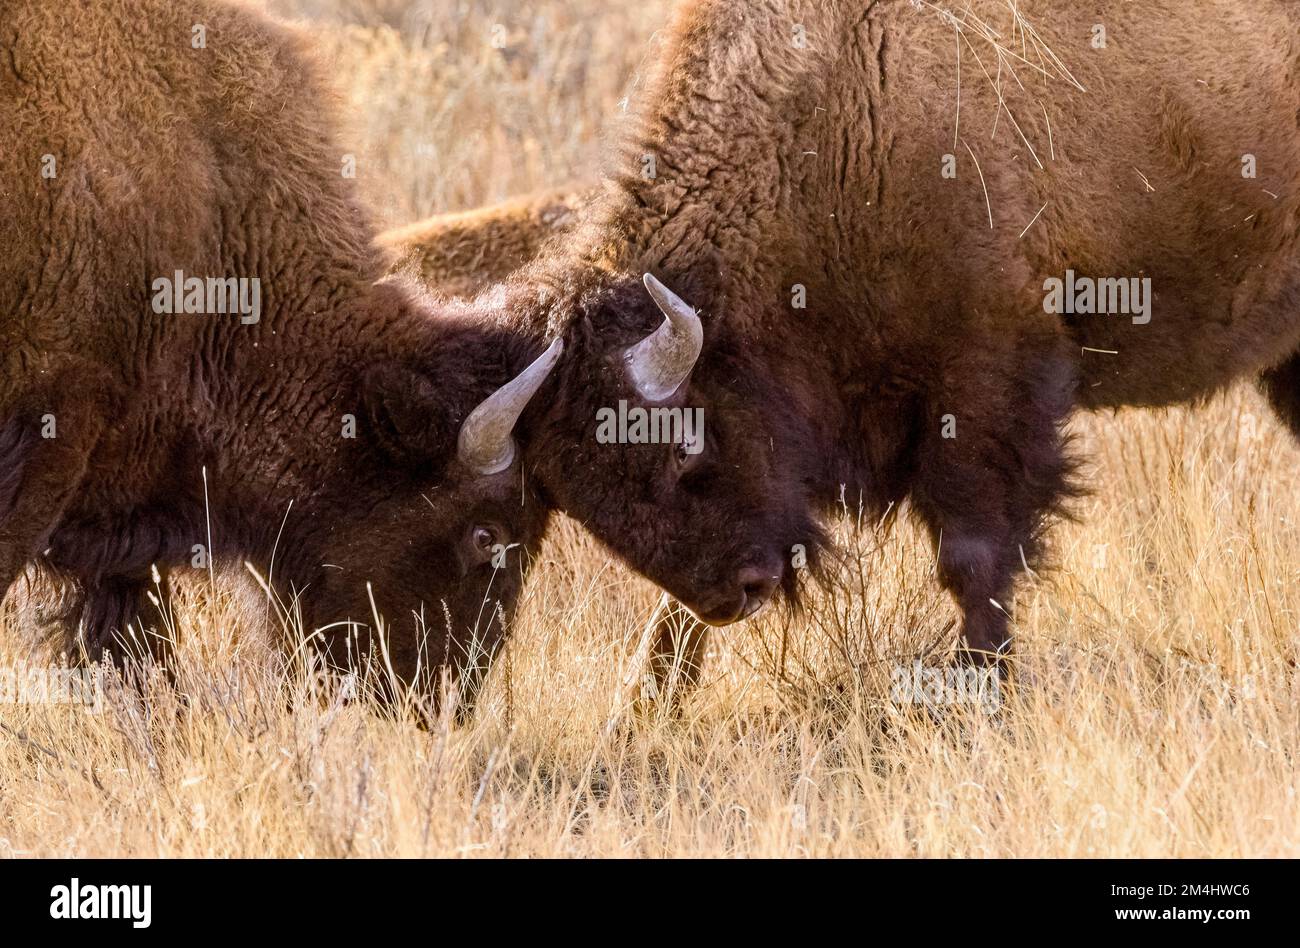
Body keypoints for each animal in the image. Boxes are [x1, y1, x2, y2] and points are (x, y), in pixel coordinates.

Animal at [441, 0, 1294, 671]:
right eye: (580, 504)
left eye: (686, 452)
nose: (738, 593)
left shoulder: (985, 382)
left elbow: (973, 557)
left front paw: (986, 682)